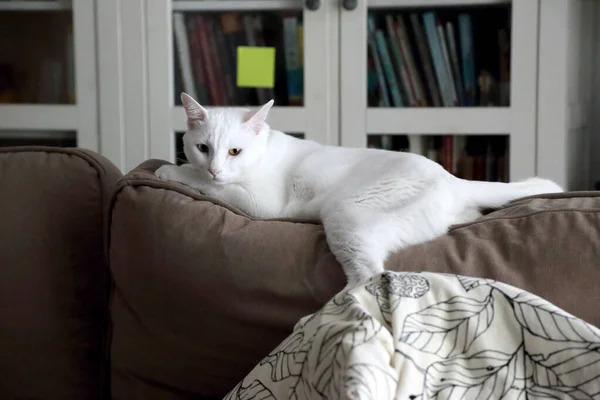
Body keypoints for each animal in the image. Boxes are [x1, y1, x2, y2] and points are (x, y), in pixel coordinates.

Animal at [158, 93, 564, 288]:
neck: (264, 150)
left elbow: (205, 184)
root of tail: (453, 181)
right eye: (203, 148)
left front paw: (171, 171)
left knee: (369, 276)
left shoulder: (260, 203)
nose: (214, 168)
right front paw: (187, 169)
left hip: (349, 217)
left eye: (234, 152)